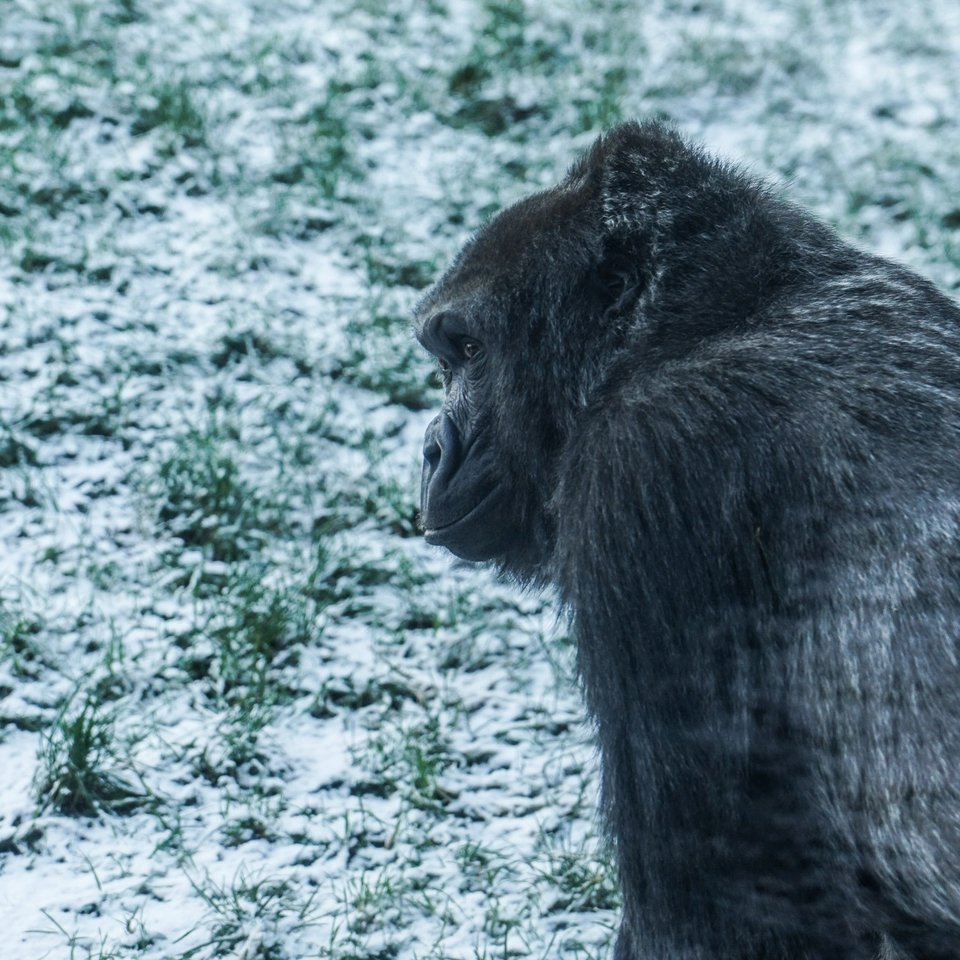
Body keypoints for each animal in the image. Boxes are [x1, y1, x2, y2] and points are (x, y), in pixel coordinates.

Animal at [416, 122, 960, 960]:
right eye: (445, 359)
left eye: (469, 352)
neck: (714, 321)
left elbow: (712, 910)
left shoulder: (646, 473)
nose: (433, 449)